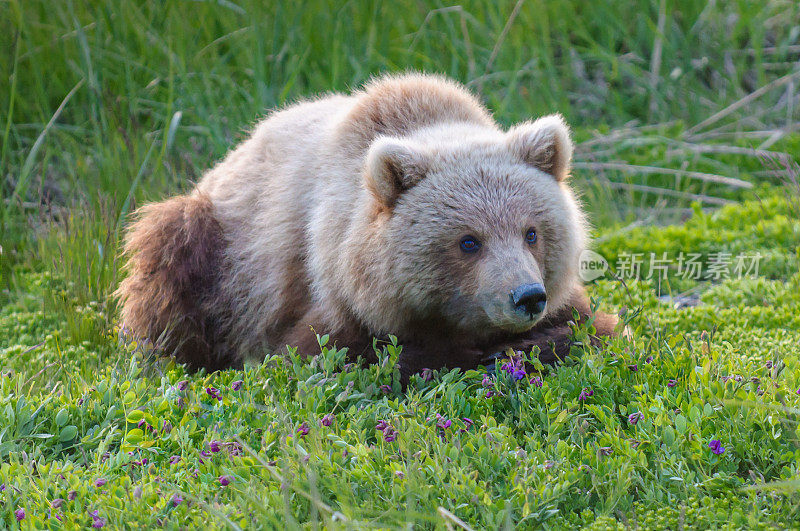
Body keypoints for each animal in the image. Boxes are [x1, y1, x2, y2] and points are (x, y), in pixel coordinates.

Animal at [115, 71, 620, 378]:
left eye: (531, 232)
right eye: (468, 241)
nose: (527, 297)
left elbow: (593, 329)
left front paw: (525, 347)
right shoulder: (316, 288)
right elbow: (324, 355)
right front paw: (458, 355)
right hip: (213, 249)